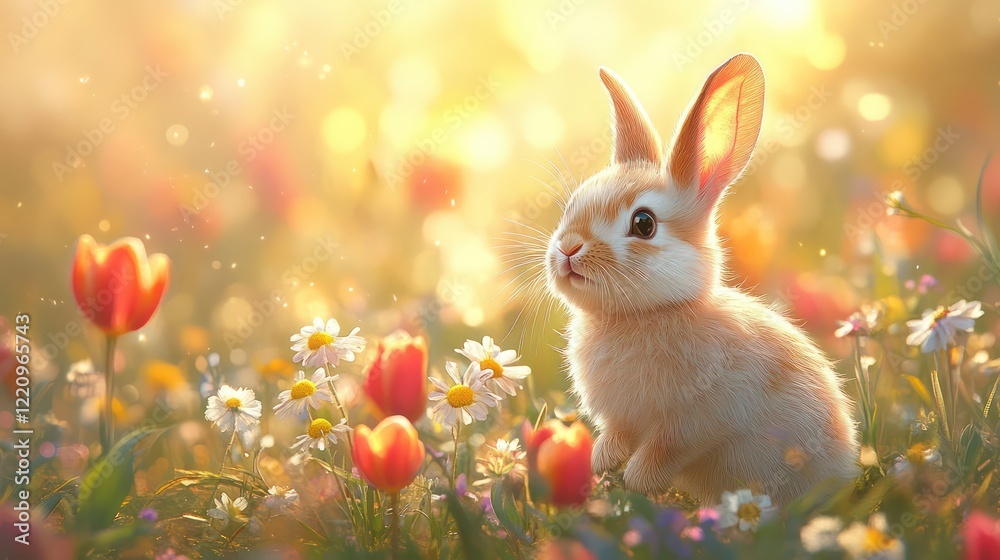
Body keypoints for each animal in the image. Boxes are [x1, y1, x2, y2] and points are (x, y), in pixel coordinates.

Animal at [543, 53, 858, 505]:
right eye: (571, 206)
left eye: (644, 224)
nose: (568, 249)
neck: (640, 315)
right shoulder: (622, 419)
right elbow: (618, 435)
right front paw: (602, 460)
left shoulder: (698, 420)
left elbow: (667, 448)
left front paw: (636, 479)